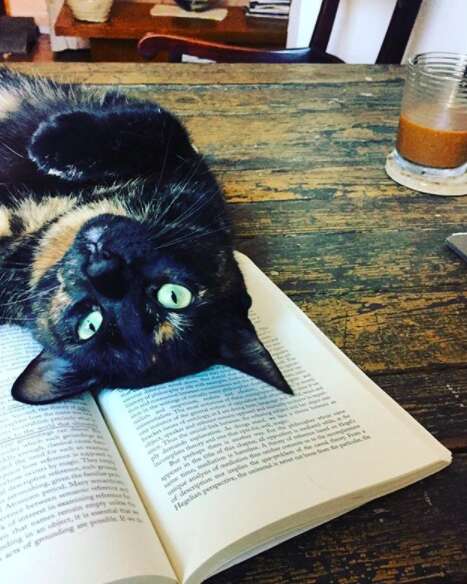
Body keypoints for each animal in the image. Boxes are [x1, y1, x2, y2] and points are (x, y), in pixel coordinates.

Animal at [0, 68, 292, 404]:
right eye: (175, 295)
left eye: (91, 324)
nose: (102, 267)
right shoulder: (192, 166)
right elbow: (156, 128)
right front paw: (55, 140)